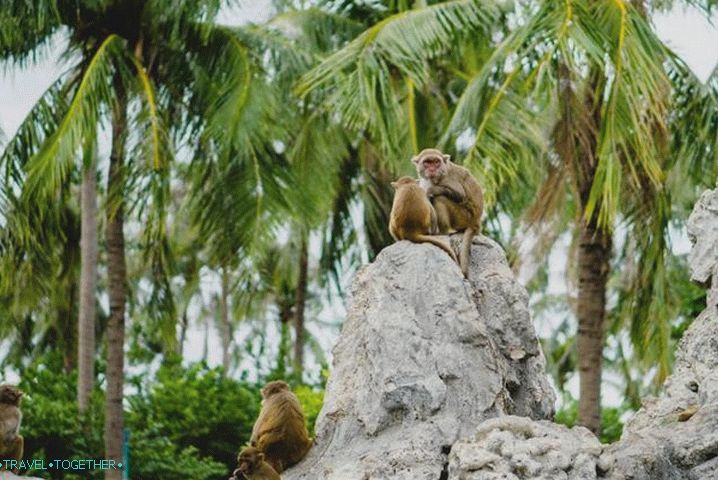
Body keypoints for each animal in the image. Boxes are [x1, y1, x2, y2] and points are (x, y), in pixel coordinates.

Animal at [414, 149, 486, 278]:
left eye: (436, 162)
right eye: (427, 162)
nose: (432, 169)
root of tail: (476, 222)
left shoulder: (447, 179)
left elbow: (460, 195)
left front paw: (431, 190)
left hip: (464, 217)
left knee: (440, 198)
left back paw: (443, 232)